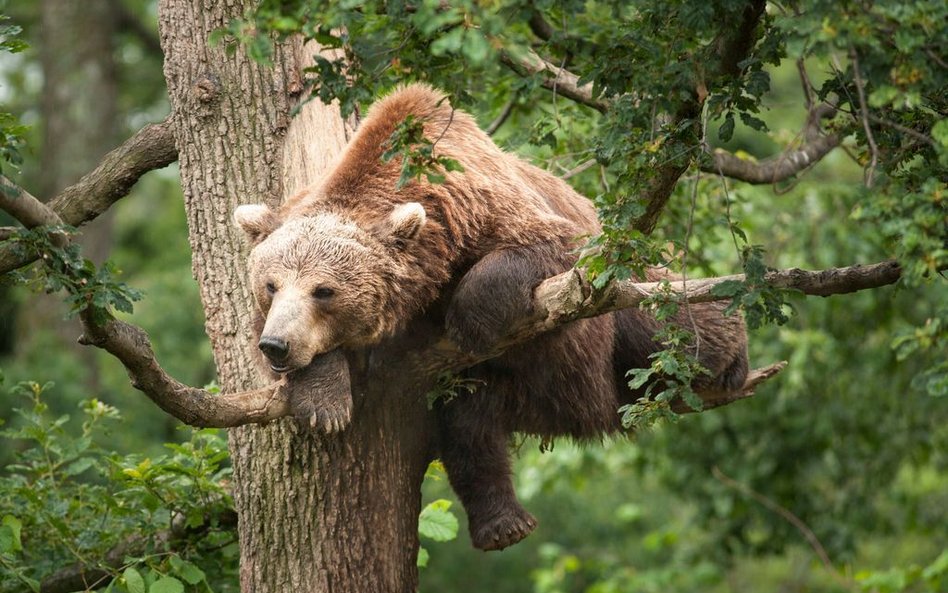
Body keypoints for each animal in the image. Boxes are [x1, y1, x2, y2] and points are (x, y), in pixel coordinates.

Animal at [231, 83, 748, 552]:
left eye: (324, 290)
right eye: (271, 285)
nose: (278, 345)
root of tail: (581, 416)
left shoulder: (496, 212)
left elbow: (541, 251)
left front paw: (469, 321)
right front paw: (324, 401)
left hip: (619, 307)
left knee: (671, 325)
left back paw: (732, 358)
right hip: (511, 388)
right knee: (471, 431)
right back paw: (504, 525)